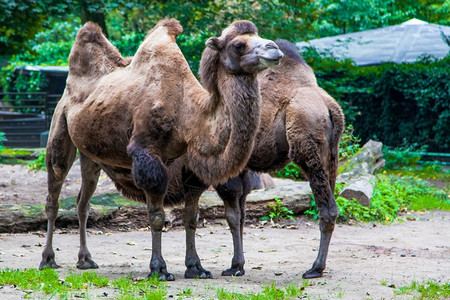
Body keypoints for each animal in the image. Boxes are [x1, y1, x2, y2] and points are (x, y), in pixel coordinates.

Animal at [40, 18, 284, 280]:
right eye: (238, 45)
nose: (275, 48)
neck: (188, 114)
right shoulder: (146, 155)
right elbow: (157, 217)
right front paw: (159, 269)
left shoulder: (191, 171)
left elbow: (191, 218)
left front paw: (195, 267)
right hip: (60, 127)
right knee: (53, 193)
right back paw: (47, 260)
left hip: (90, 155)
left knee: (83, 202)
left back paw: (85, 260)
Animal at [165, 39, 344, 278]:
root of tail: (330, 107)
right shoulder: (241, 169)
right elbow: (241, 216)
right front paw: (239, 264)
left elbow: (232, 216)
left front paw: (234, 266)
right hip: (331, 156)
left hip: (308, 148)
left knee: (327, 209)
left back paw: (315, 268)